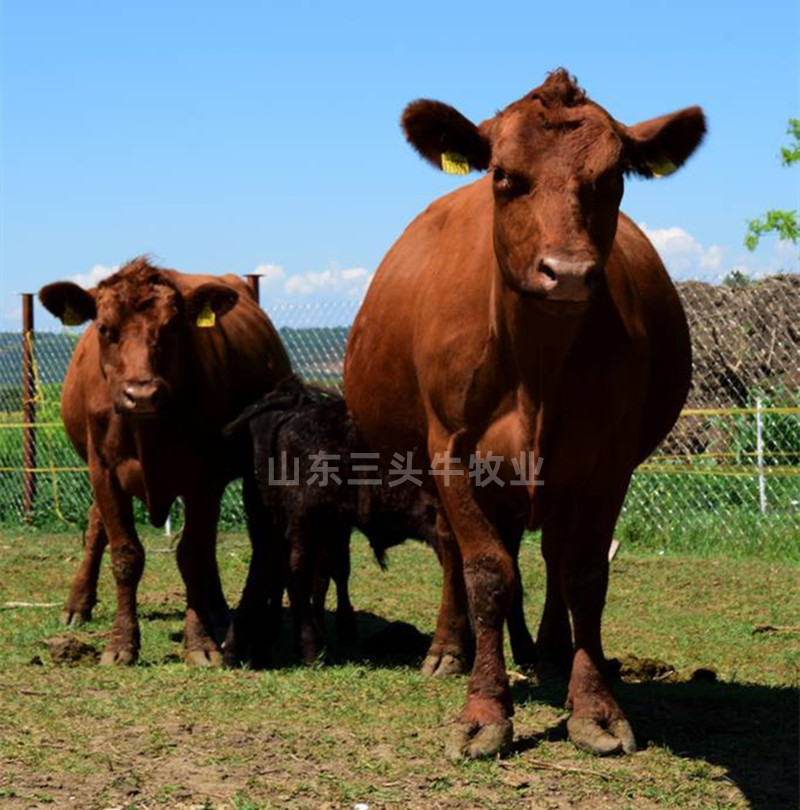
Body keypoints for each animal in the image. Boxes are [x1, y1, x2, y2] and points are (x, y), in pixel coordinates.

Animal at [39, 258, 290, 664]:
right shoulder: (103, 471)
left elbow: (192, 555)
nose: (141, 394)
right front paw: (121, 644)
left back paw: (218, 612)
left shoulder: (204, 477)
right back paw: (77, 605)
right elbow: (125, 554)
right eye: (104, 328)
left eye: (173, 327)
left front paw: (200, 643)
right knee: (96, 526)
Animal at [346, 71, 704, 756]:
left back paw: (550, 650)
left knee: (551, 555)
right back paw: (450, 650)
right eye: (505, 176)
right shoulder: (453, 451)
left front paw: (594, 707)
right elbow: (487, 572)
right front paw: (484, 710)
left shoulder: (607, 461)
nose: (568, 272)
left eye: (613, 178)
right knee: (459, 552)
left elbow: (584, 571)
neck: (534, 367)